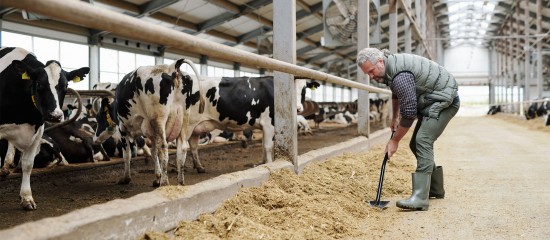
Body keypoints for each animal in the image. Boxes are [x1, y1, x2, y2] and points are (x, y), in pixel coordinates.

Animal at [0, 46, 88, 209]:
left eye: (65, 86)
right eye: (39, 84)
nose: (56, 115)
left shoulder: (38, 130)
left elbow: (28, 164)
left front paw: (27, 198)